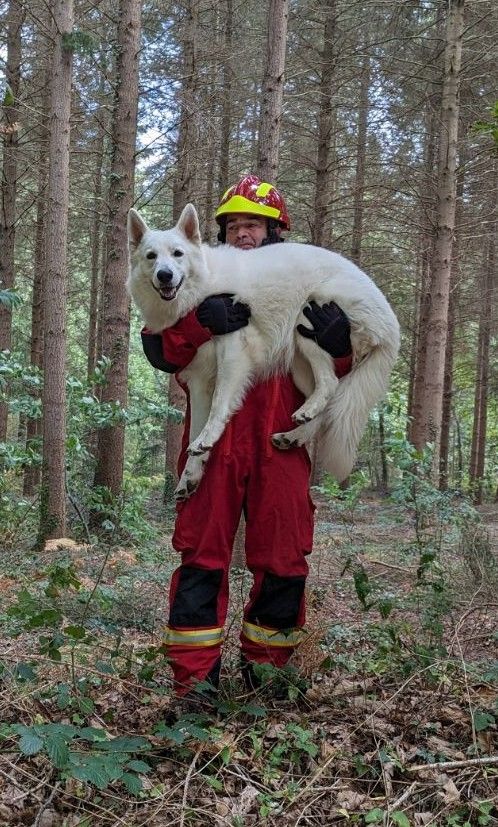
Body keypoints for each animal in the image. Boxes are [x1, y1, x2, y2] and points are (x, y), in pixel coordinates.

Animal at [128, 204, 400, 502]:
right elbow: (194, 432)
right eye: (151, 256)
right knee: (327, 403)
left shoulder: (233, 357)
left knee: (330, 383)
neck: (203, 288)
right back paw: (295, 433)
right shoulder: (199, 381)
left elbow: (219, 407)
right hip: (300, 365)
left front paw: (207, 439)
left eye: (178, 253)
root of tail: (391, 324)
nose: (164, 275)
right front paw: (190, 475)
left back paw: (304, 414)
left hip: (308, 322)